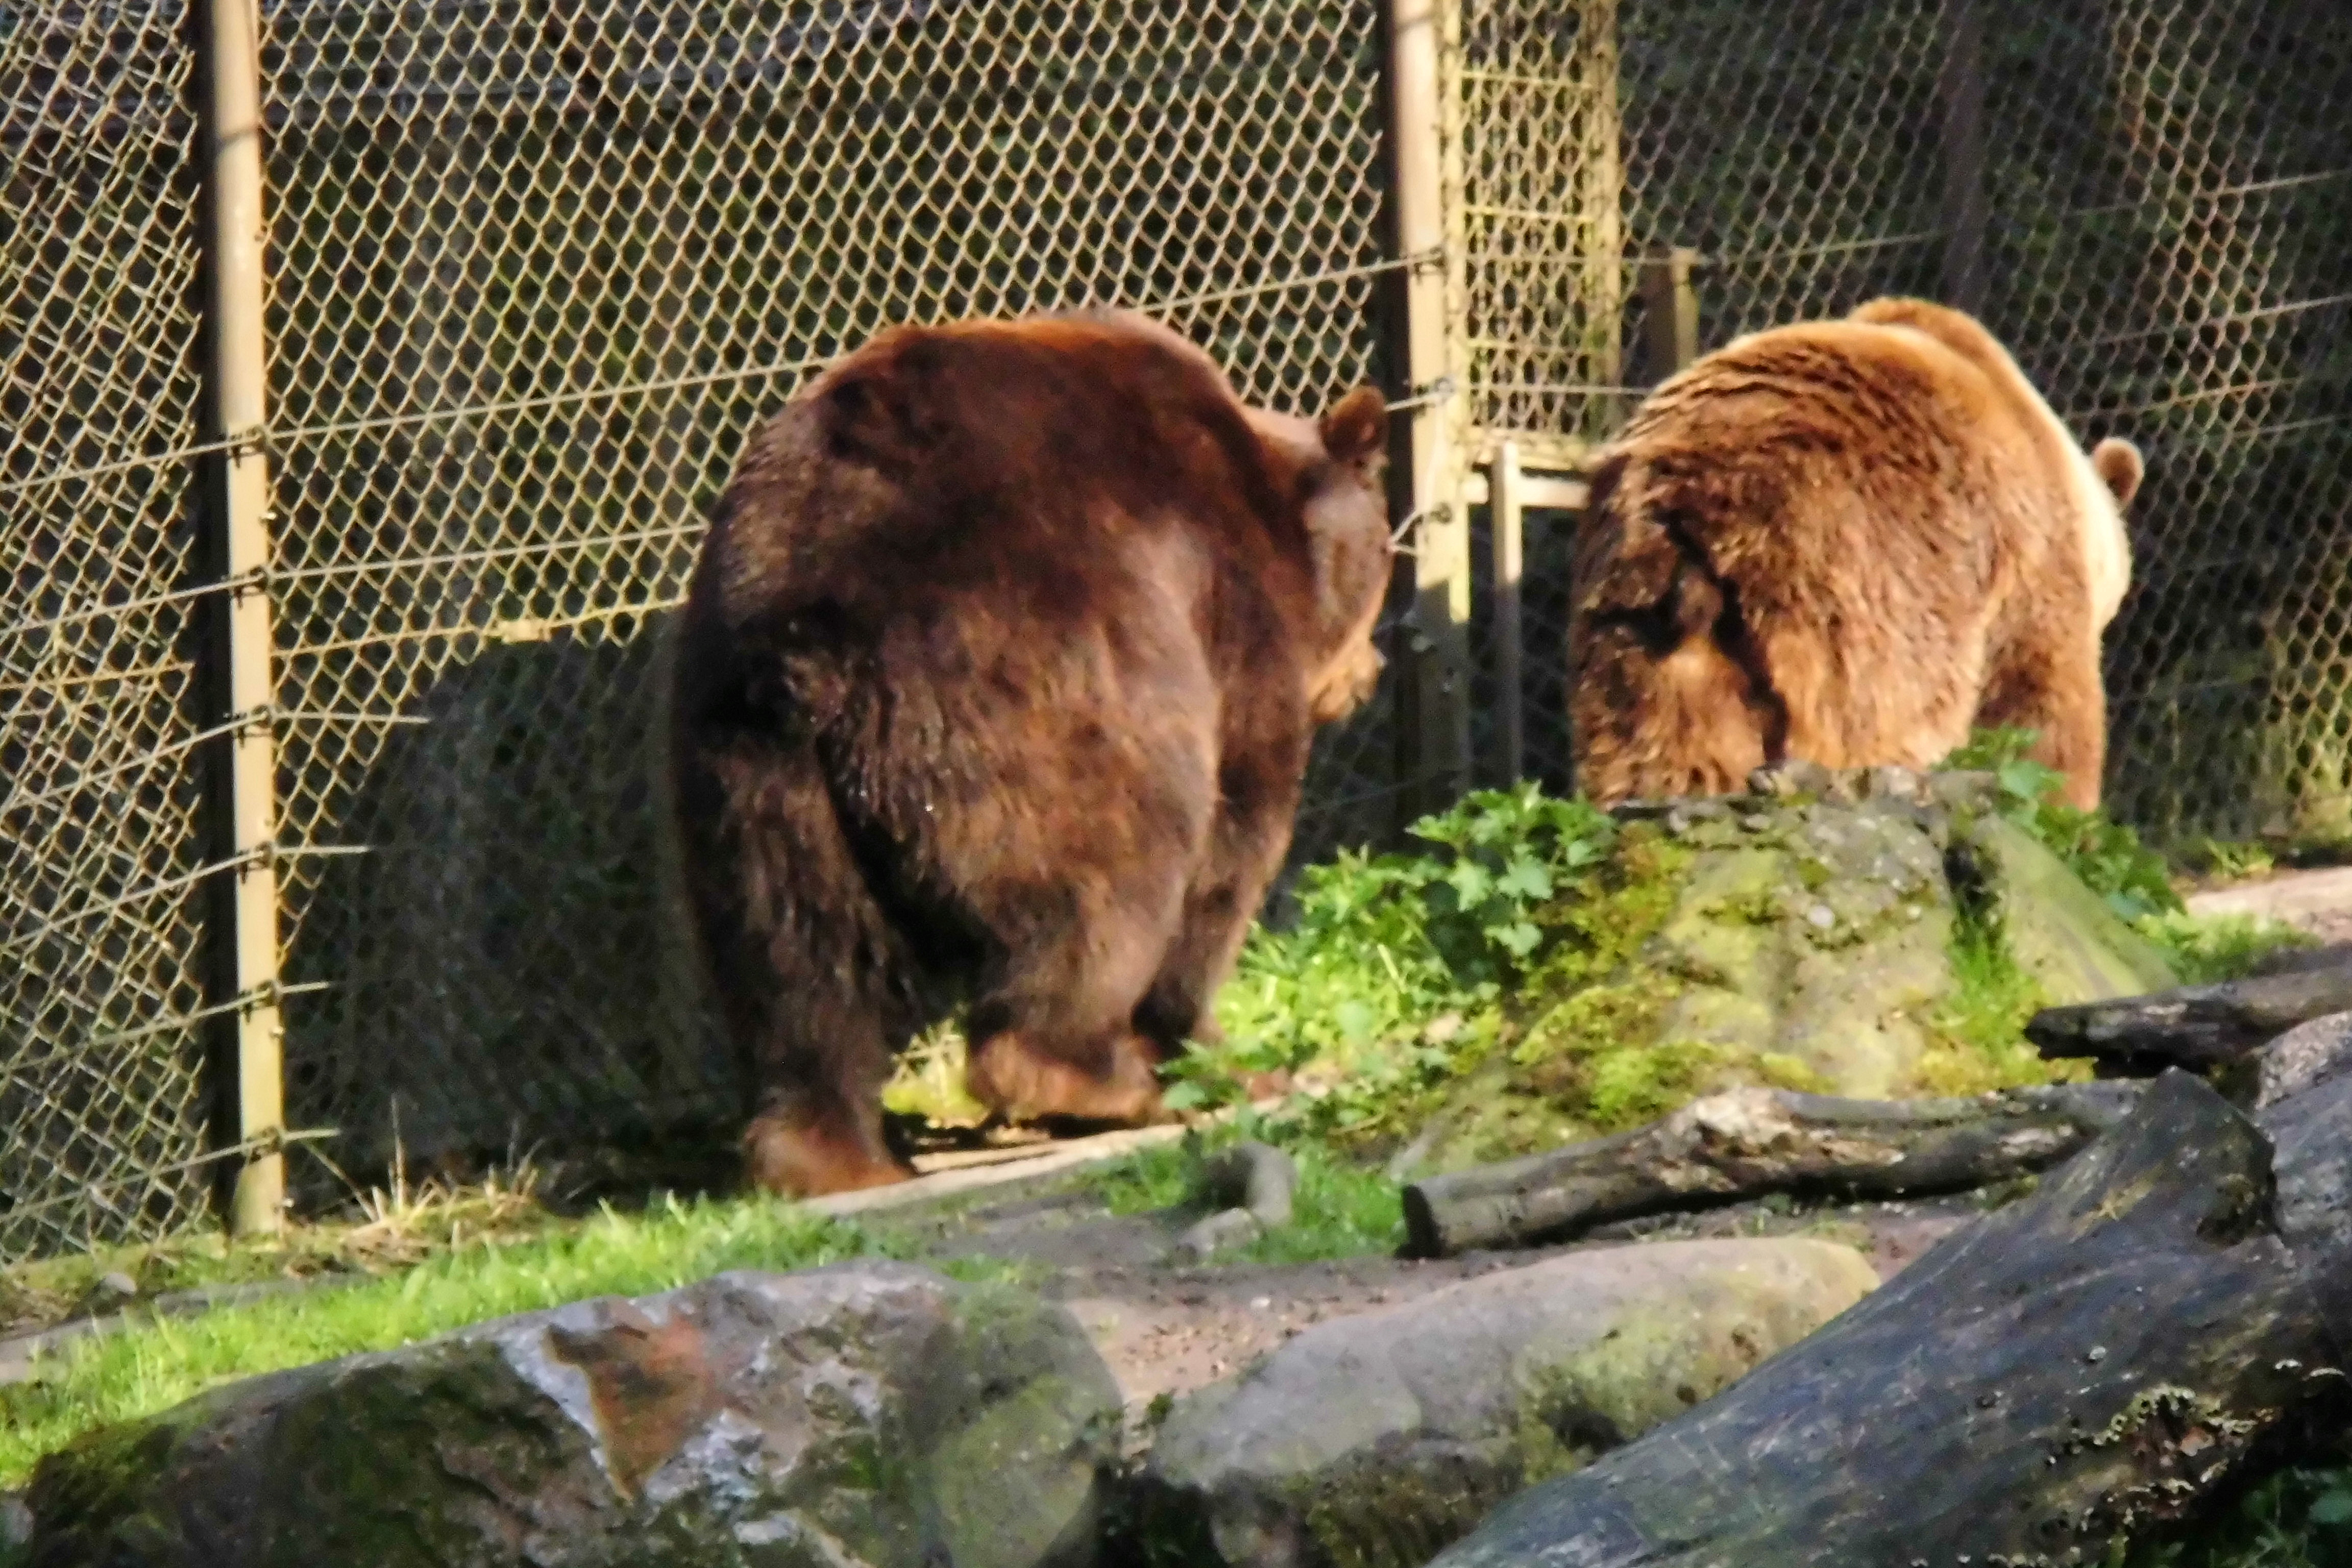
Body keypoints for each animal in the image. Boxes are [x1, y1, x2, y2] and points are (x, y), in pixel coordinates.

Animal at [668, 312, 1392, 1194]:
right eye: (1390, 556)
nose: (1370, 671)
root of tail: (806, 625)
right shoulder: (1227, 606)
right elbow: (1235, 841)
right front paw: (1230, 1059)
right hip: (1040, 680)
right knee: (1112, 870)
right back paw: (1096, 1079)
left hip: (749, 771)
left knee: (797, 957)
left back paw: (839, 1158)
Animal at [1571, 297, 2145, 808]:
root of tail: (1688, 499)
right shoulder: (2027, 560)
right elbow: (2039, 711)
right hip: (1853, 570)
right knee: (1868, 721)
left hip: (1638, 617)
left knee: (1661, 743)